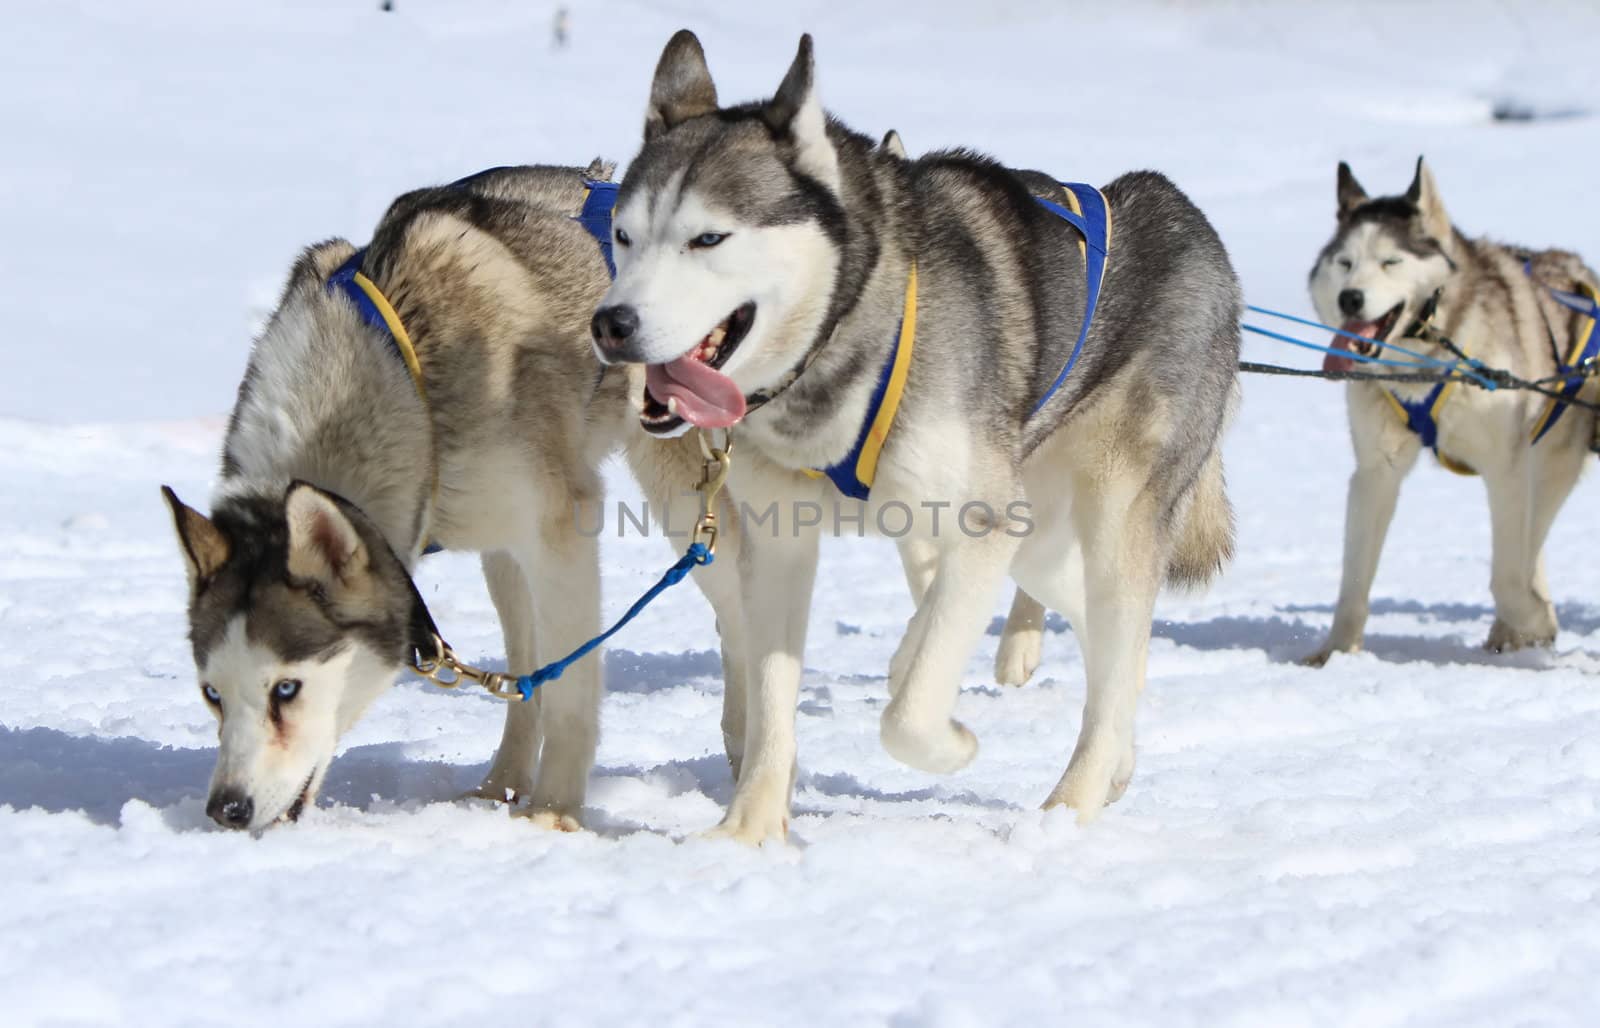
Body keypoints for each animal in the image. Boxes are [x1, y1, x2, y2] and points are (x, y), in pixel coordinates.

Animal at [162, 164, 630, 826]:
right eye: (212, 694)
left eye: (286, 689)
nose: (226, 809)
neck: (406, 388)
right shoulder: (505, 539)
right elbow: (529, 679)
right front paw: (511, 795)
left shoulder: (560, 534)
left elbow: (568, 687)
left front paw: (553, 814)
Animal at [595, 32, 1241, 839]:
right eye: (623, 235)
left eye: (707, 238)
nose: (610, 324)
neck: (842, 341)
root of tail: (1183, 214)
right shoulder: (781, 546)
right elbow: (774, 704)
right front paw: (748, 834)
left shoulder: (982, 522)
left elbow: (907, 718)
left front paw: (954, 743)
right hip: (1037, 529)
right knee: (1092, 628)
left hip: (1109, 509)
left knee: (1117, 647)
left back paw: (1069, 806)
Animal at [1305, 156, 1593, 659]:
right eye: (1345, 263)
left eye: (1391, 261)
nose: (1350, 298)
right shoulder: (1375, 473)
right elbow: (1354, 582)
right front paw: (1337, 654)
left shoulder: (1506, 469)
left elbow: (1508, 576)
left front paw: (1531, 618)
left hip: (1554, 464)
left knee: (1529, 543)